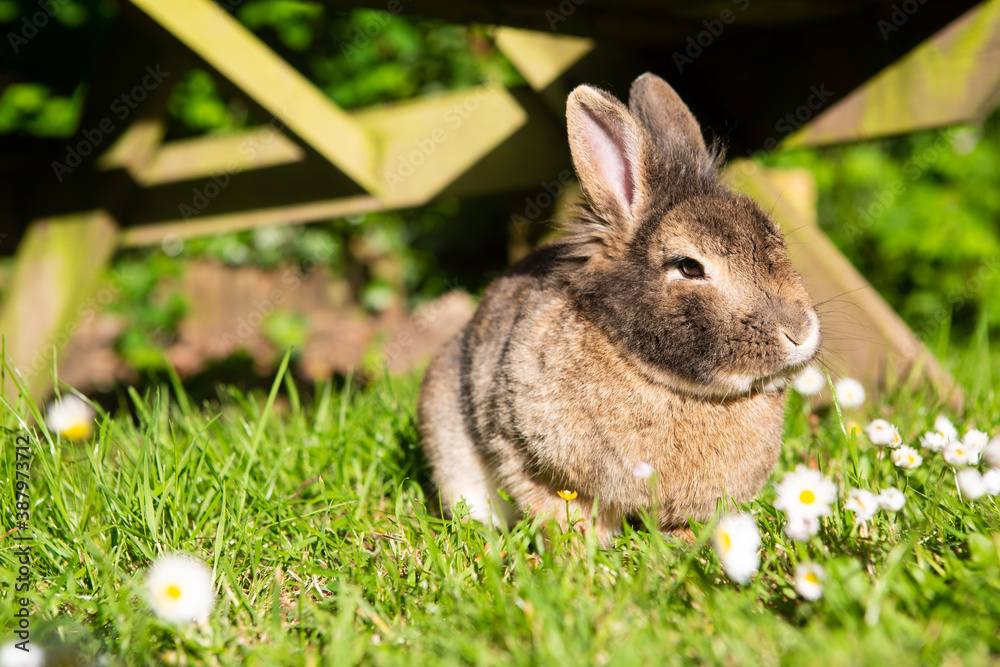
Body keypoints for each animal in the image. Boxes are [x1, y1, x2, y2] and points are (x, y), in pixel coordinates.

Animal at [418, 72, 820, 545]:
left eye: (778, 239)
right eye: (689, 266)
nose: (801, 332)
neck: (664, 382)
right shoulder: (521, 452)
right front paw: (583, 552)